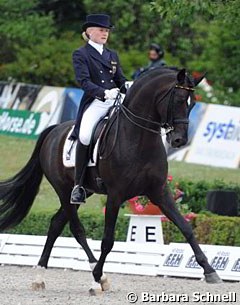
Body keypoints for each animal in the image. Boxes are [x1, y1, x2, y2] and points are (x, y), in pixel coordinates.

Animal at [0, 67, 221, 294]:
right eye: (178, 100)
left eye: (192, 104)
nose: (179, 140)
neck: (138, 138)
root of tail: (54, 130)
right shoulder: (115, 195)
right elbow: (107, 240)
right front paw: (97, 276)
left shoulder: (159, 191)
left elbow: (186, 228)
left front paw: (210, 270)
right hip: (64, 190)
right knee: (76, 229)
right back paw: (96, 277)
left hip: (83, 191)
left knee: (55, 224)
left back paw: (41, 276)